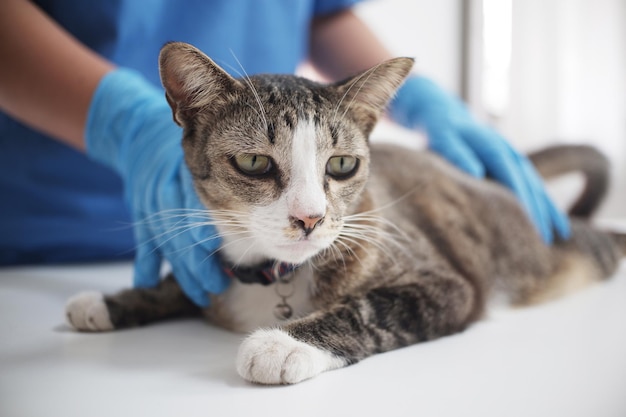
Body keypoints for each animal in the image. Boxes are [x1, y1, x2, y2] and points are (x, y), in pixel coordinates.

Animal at [64, 41, 624, 384]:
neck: (276, 277)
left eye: (342, 164)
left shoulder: (448, 283)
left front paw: (282, 344)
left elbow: (370, 309)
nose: (310, 218)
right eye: (254, 163)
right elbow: (188, 280)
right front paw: (114, 301)